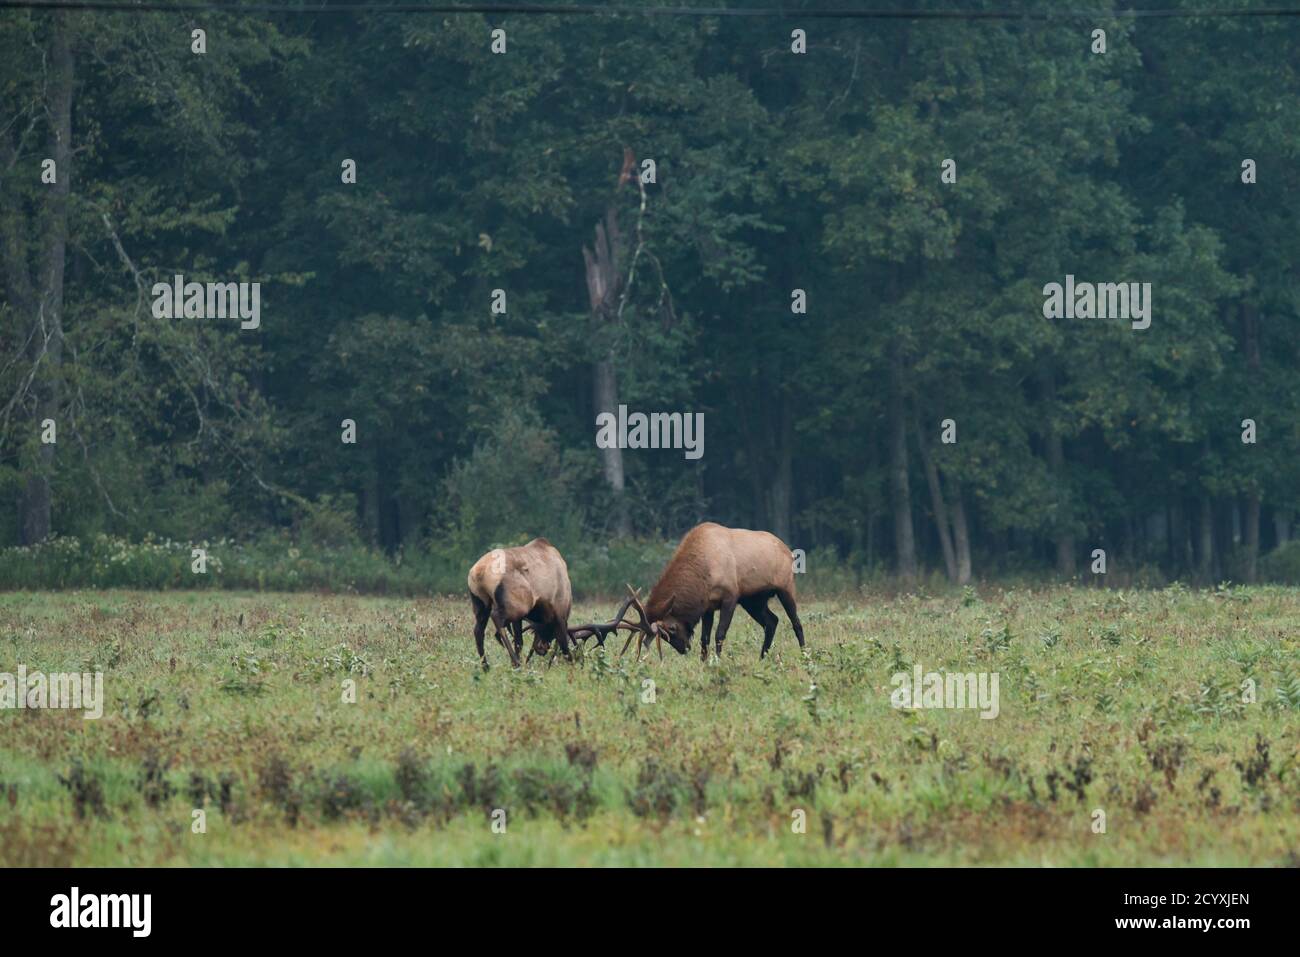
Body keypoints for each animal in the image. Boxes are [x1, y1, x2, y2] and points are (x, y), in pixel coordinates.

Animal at [465, 540, 572, 670]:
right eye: (548, 631)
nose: (542, 648)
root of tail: (479, 571)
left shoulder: (520, 619)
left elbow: (519, 641)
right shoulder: (559, 611)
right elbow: (564, 645)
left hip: (481, 604)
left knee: (478, 631)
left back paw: (486, 666)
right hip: (517, 605)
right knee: (496, 618)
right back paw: (515, 662)